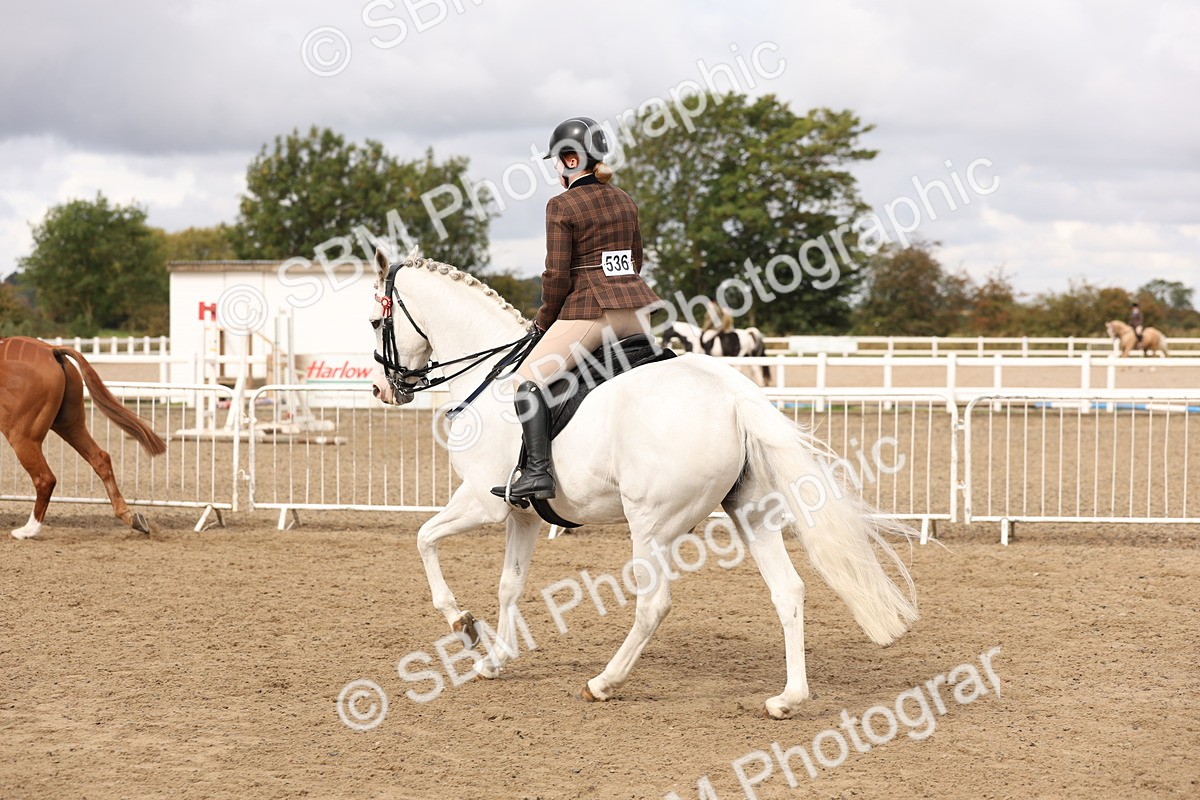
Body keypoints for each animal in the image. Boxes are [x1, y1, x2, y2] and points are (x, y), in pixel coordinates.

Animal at [0, 337, 165, 539]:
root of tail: (51, 350)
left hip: (23, 437)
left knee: (45, 479)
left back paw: (28, 531)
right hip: (71, 426)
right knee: (100, 459)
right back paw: (131, 517)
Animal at [368, 250, 917, 719]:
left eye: (376, 321)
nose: (381, 390)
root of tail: (733, 397)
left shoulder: (484, 504)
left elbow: (424, 539)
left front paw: (461, 624)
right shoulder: (523, 514)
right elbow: (509, 585)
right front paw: (496, 658)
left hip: (650, 525)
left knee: (654, 605)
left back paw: (603, 683)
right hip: (750, 515)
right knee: (789, 591)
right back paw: (788, 699)